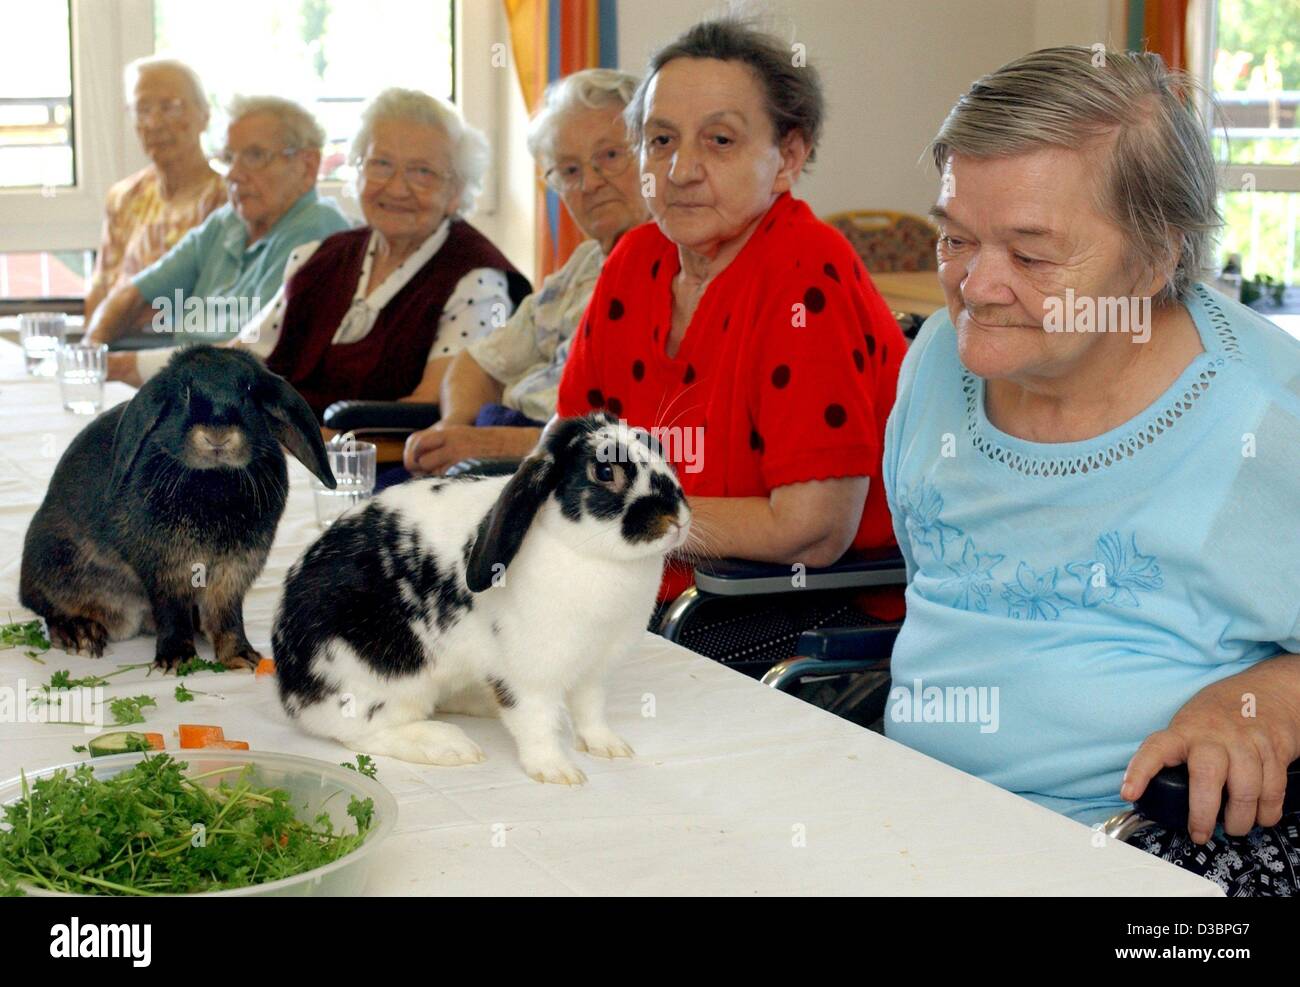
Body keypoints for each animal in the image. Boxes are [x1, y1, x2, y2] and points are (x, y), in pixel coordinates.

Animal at [20, 345, 335, 671]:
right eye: (185, 393)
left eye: (249, 391)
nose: (217, 436)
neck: (213, 480)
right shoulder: (168, 570)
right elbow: (173, 612)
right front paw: (177, 660)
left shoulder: (233, 572)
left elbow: (226, 615)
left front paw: (241, 657)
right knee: (48, 610)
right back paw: (79, 634)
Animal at [272, 412, 691, 784]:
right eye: (604, 473)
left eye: (657, 447)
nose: (676, 519)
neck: (594, 556)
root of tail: (288, 690)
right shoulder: (530, 677)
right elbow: (537, 723)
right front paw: (557, 771)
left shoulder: (594, 671)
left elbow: (591, 712)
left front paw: (610, 747)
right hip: (372, 682)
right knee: (361, 732)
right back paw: (447, 745)